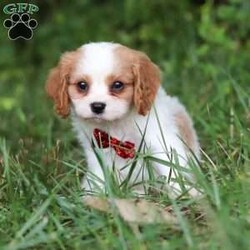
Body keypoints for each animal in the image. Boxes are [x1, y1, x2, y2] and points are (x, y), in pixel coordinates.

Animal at [46, 42, 200, 196]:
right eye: (82, 85)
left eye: (117, 85)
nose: (97, 106)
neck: (116, 124)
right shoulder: (97, 151)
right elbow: (100, 175)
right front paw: (96, 193)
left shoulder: (161, 142)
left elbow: (171, 169)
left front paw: (184, 193)